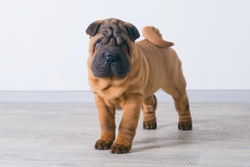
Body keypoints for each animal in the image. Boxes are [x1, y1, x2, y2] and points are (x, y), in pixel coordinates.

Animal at [85, 17, 192, 153]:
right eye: (99, 42)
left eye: (123, 44)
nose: (110, 57)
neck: (112, 80)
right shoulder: (101, 100)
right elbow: (106, 123)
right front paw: (104, 141)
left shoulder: (133, 99)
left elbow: (126, 124)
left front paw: (121, 145)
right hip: (147, 88)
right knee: (150, 104)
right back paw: (149, 123)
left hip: (175, 85)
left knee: (182, 104)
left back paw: (185, 123)